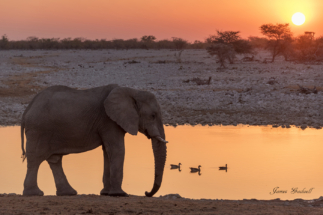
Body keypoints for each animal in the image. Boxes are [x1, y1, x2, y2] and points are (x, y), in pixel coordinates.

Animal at [20, 84, 168, 197]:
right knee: (35, 159)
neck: (131, 91)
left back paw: (68, 193)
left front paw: (106, 193)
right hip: (38, 129)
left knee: (54, 160)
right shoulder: (108, 120)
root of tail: (27, 108)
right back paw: (34, 193)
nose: (146, 193)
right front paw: (119, 194)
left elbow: (107, 151)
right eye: (153, 116)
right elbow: (117, 149)